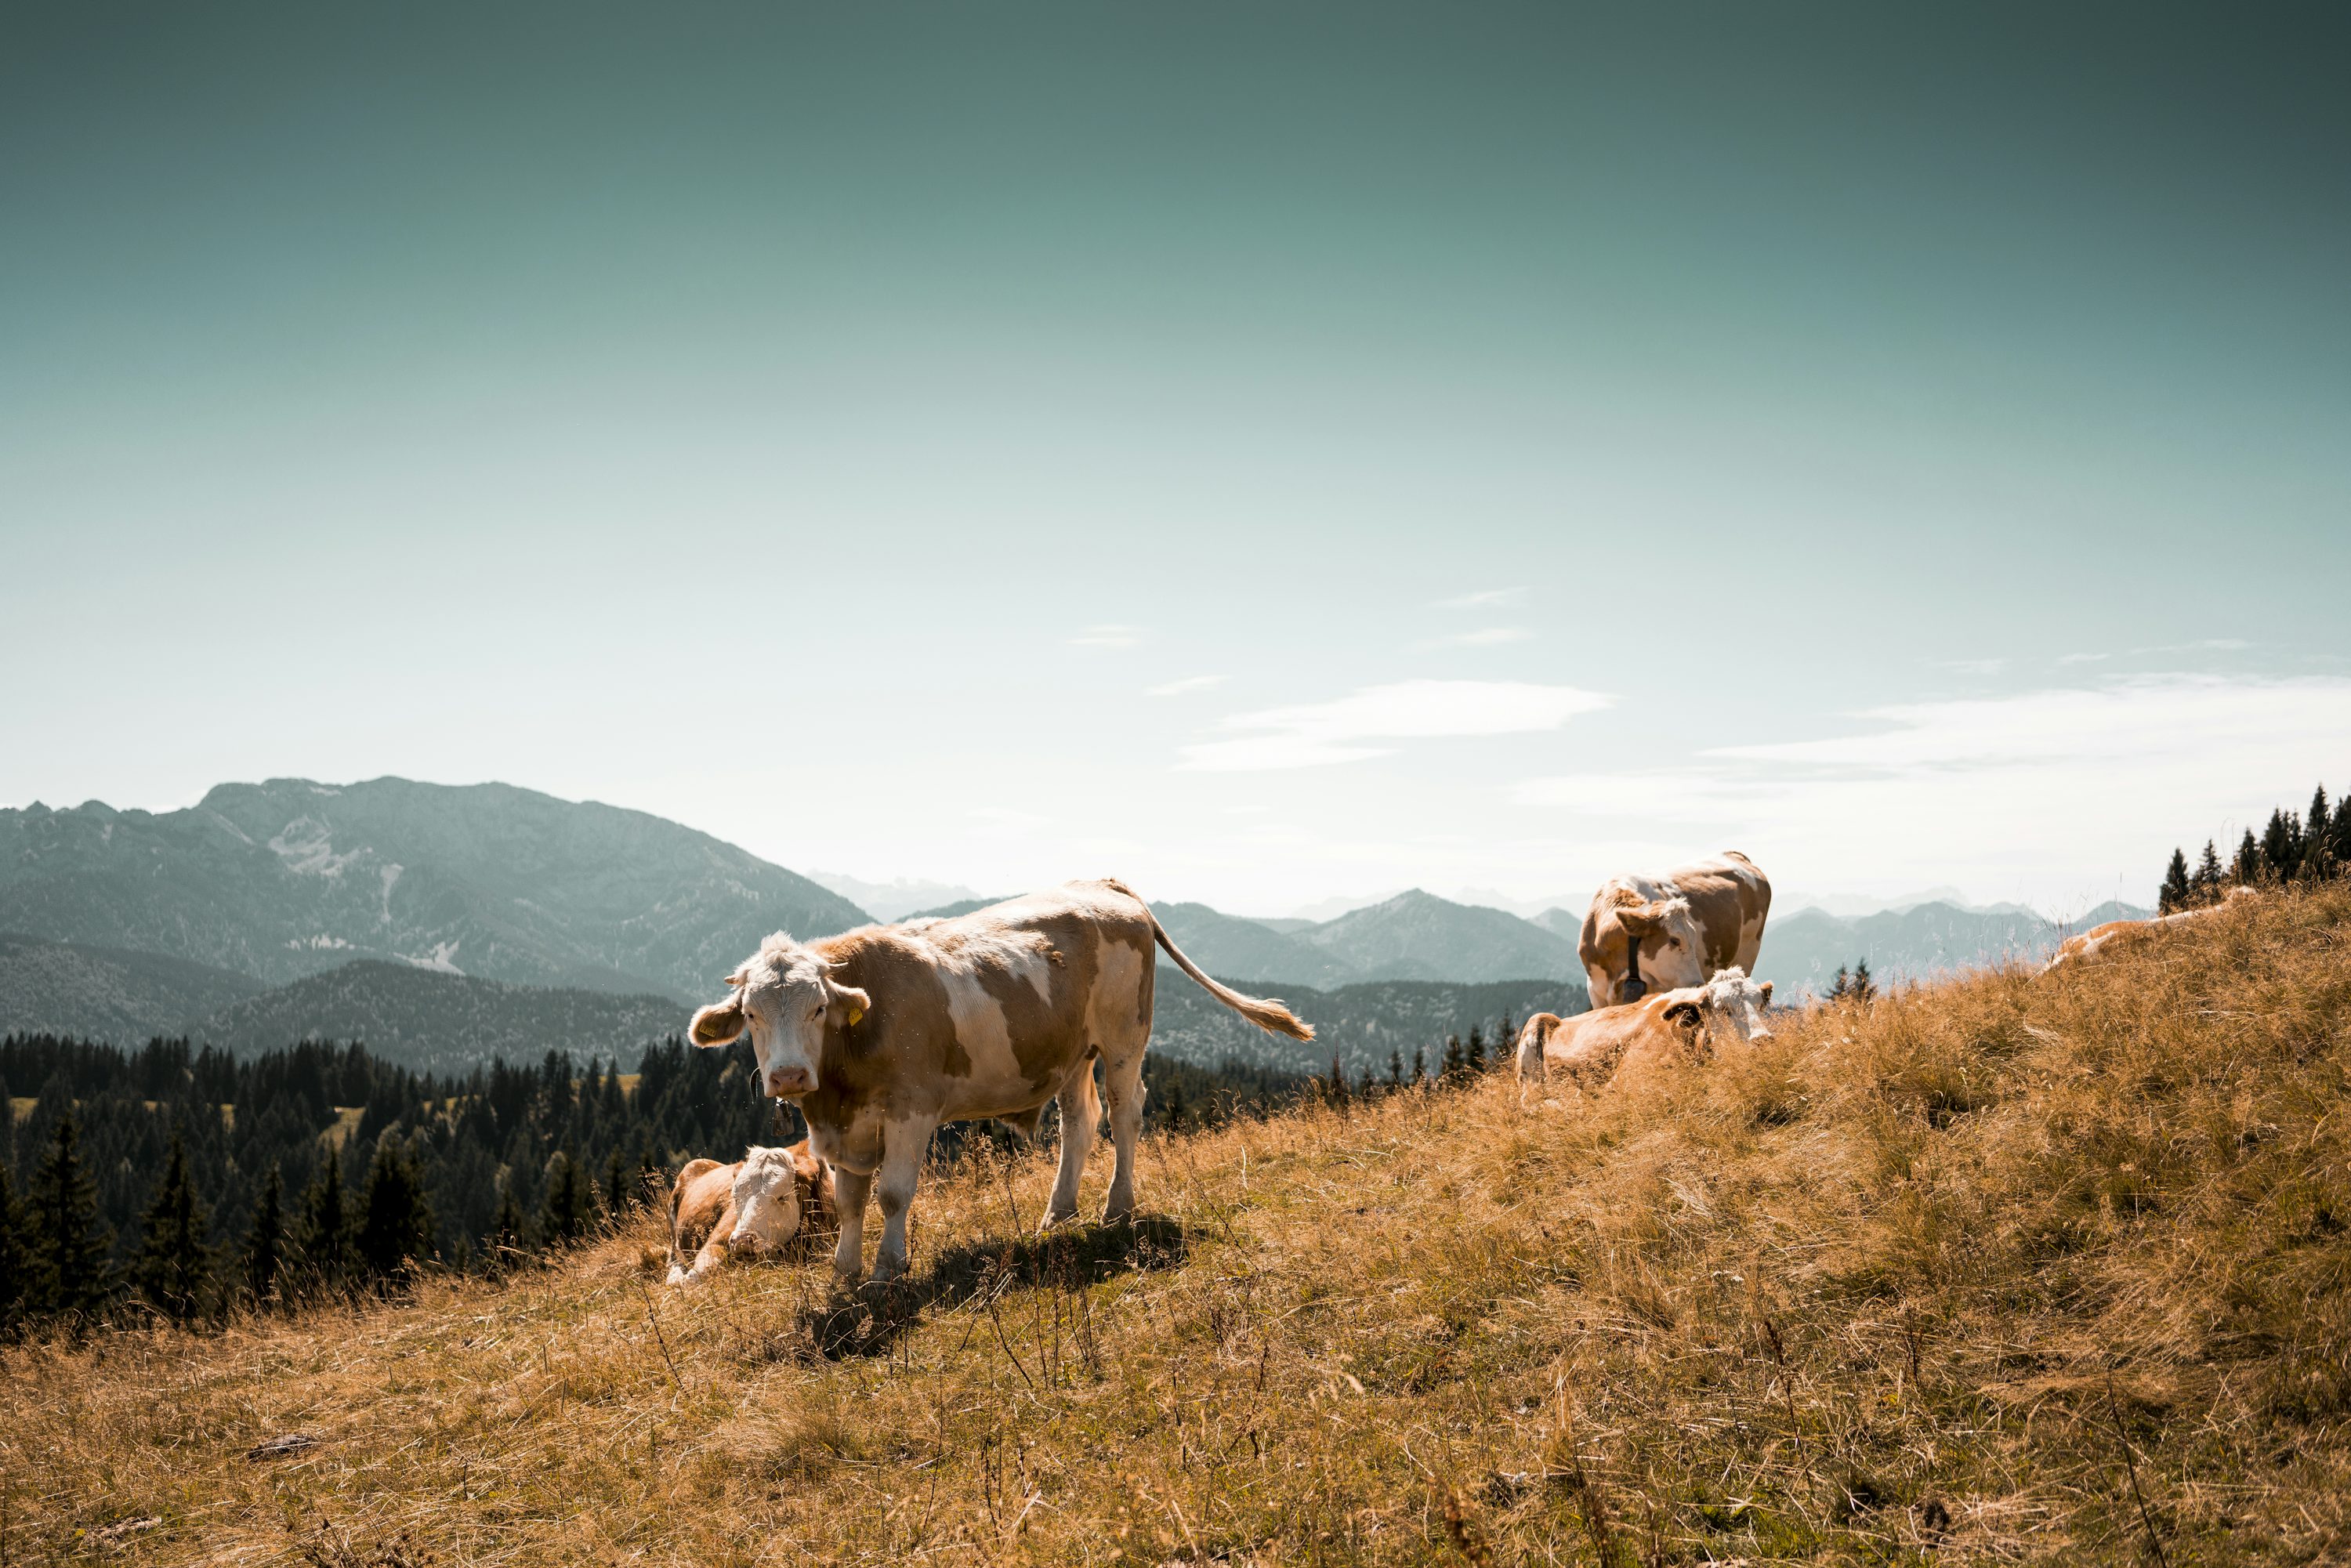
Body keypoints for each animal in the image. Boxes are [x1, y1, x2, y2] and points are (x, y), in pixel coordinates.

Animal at [686, 878, 1314, 1283]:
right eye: (751, 1014)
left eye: (817, 1008)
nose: (789, 1073)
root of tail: (1105, 885)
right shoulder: (847, 1129)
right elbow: (850, 1202)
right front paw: (844, 1273)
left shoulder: (911, 1108)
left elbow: (892, 1193)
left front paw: (888, 1269)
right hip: (1071, 1052)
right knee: (1079, 1123)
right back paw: (1058, 1213)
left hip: (1123, 1040)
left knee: (1125, 1114)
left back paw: (1117, 1207)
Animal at [1515, 968, 1774, 1109]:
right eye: (1723, 1009)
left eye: (1761, 1004)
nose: (1763, 1039)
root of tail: (1560, 1020)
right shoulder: (1621, 1081)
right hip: (1532, 1037)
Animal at [1579, 852, 1772, 1007]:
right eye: (1674, 940)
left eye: (1693, 939)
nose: (1698, 984)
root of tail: (1734, 855)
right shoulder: (1595, 991)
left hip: (1747, 953)